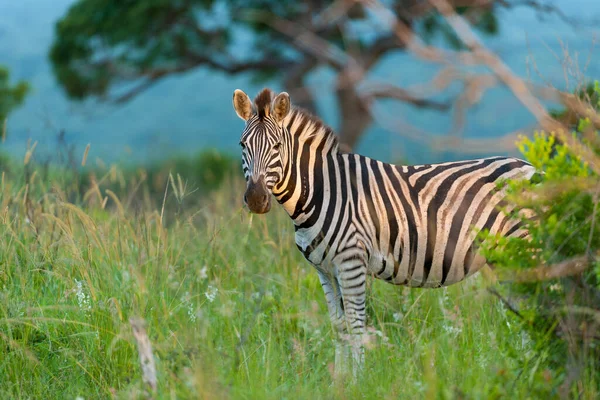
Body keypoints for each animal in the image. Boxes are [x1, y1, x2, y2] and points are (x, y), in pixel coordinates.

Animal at [232, 86, 536, 376]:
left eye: (277, 146)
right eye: (242, 145)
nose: (256, 199)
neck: (321, 190)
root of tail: (533, 167)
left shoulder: (351, 261)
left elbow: (356, 325)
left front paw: (358, 380)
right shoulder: (325, 270)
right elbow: (339, 326)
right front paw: (339, 380)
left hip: (527, 250)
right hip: (506, 259)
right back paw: (524, 366)